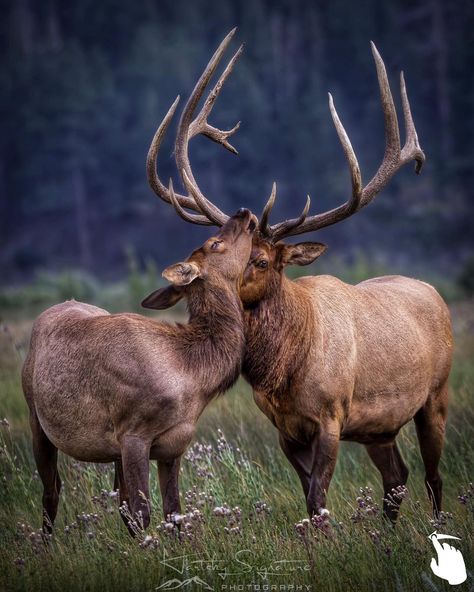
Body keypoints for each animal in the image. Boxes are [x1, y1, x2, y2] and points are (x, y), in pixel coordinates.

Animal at [21, 28, 256, 536]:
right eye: (213, 243)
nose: (246, 212)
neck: (192, 376)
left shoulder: (173, 445)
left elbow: (173, 513)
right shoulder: (132, 432)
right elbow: (144, 516)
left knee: (114, 499)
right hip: (34, 414)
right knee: (51, 492)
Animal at [241, 42, 452, 524]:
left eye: (260, 260)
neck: (284, 373)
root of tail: (435, 292)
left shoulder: (331, 416)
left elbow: (318, 497)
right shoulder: (284, 429)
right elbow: (308, 497)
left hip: (436, 394)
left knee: (433, 476)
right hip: (379, 426)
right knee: (397, 477)